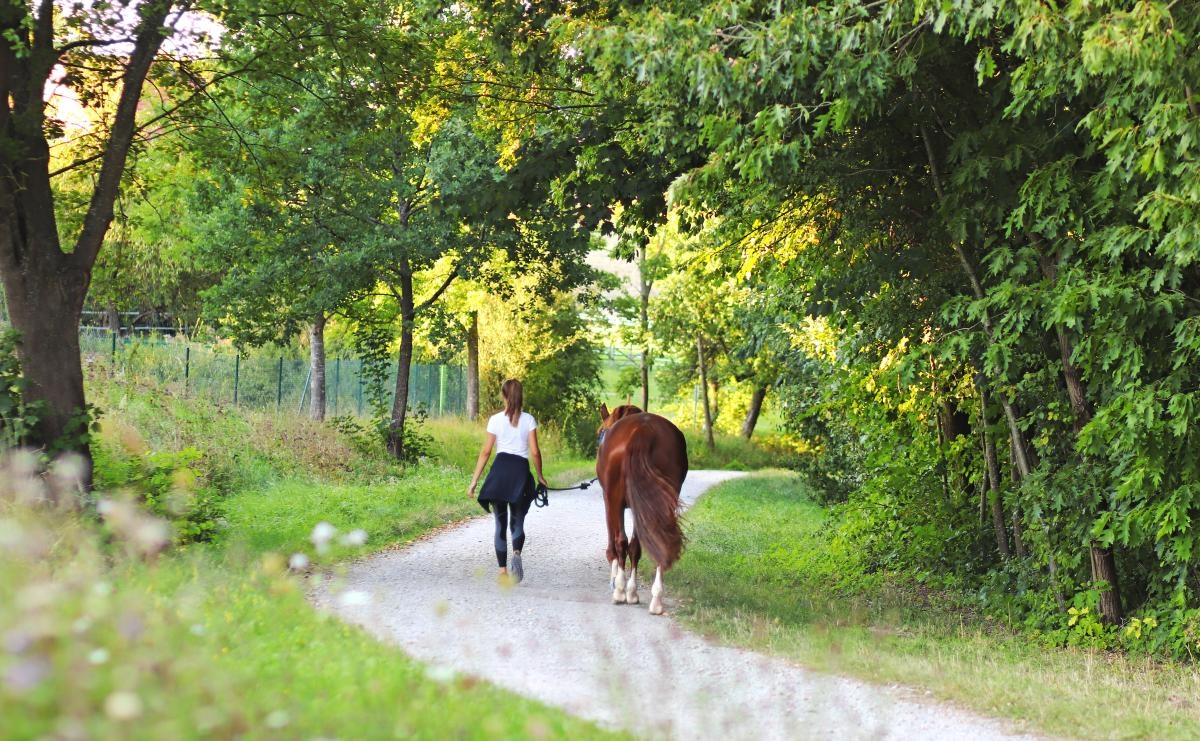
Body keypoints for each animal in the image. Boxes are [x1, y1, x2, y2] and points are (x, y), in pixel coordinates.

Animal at [597, 402, 691, 611]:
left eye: (601, 431)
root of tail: (643, 430)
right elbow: (636, 547)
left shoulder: (609, 501)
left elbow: (616, 543)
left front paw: (617, 583)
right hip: (663, 501)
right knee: (658, 540)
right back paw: (655, 599)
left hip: (615, 499)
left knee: (622, 541)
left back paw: (621, 591)